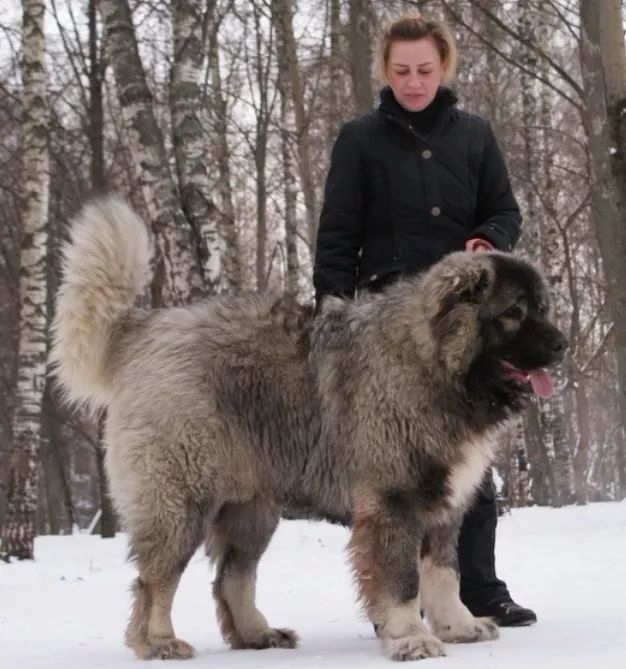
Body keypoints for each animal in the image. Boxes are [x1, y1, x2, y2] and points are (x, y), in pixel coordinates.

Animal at [50, 196, 564, 660]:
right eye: (513, 313)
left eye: (542, 307)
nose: (561, 343)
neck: (432, 363)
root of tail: (145, 330)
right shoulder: (394, 501)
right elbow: (403, 581)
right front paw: (410, 638)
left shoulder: (443, 505)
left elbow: (443, 572)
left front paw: (458, 626)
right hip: (179, 500)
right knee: (156, 580)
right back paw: (158, 641)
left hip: (252, 507)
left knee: (232, 576)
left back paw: (257, 634)